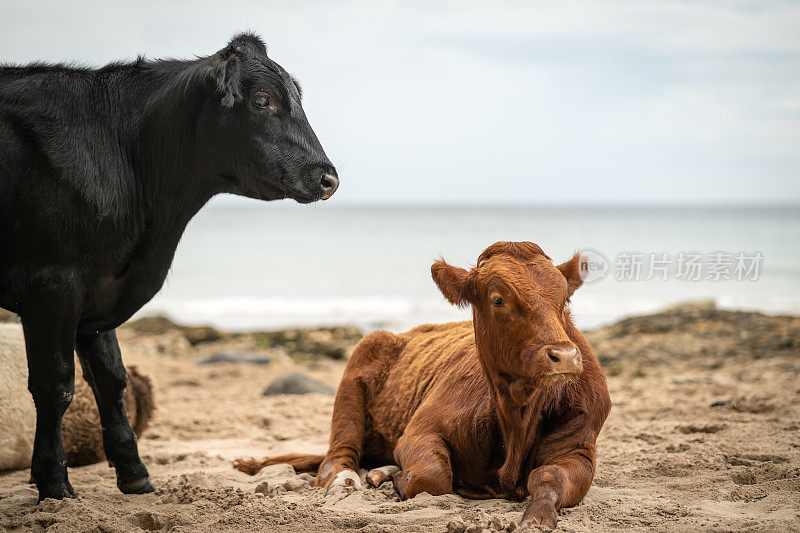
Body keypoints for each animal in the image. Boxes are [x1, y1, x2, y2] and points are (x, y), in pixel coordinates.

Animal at [0, 32, 338, 498]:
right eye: (262, 100)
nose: (329, 178)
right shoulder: (53, 284)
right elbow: (55, 384)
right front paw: (53, 483)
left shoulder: (100, 287)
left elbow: (111, 380)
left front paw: (135, 474)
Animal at [234, 243, 608, 528]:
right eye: (498, 299)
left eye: (564, 298)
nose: (564, 356)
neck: (516, 412)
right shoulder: (420, 430)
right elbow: (434, 475)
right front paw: (400, 480)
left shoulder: (578, 447)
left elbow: (549, 477)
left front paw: (537, 519)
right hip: (356, 376)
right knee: (337, 458)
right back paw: (351, 481)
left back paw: (380, 471)